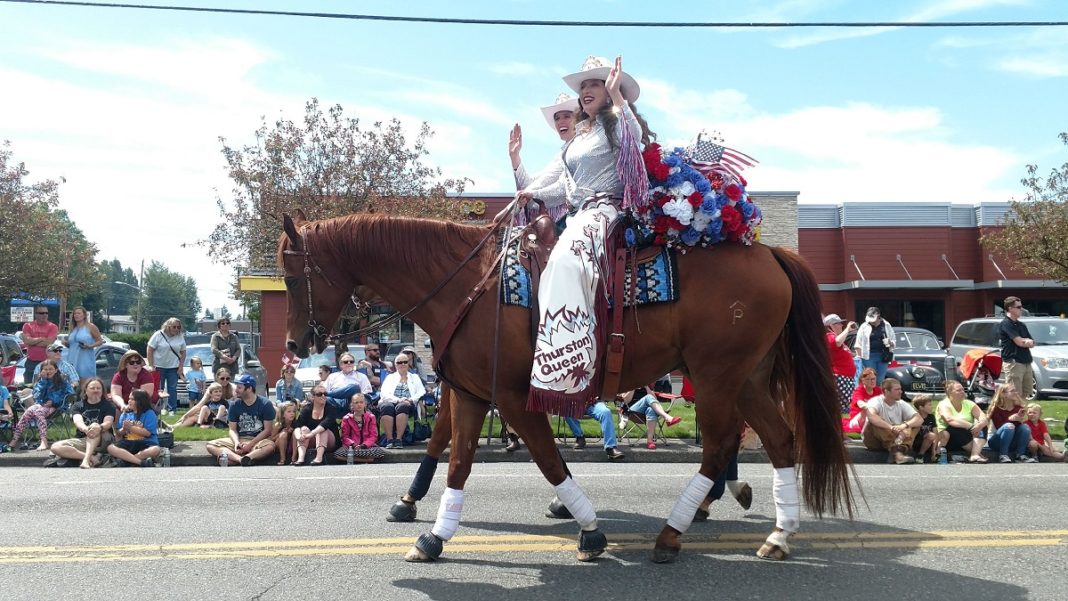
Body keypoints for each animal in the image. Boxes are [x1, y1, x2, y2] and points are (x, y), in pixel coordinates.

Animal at [279, 211, 854, 563]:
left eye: (291, 276)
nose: (296, 341)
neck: (467, 288)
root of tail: (771, 252)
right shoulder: (470, 393)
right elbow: (457, 459)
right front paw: (433, 532)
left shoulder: (512, 398)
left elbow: (547, 458)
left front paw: (590, 527)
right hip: (747, 377)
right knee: (778, 441)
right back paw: (777, 534)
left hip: (717, 377)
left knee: (719, 446)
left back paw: (676, 530)